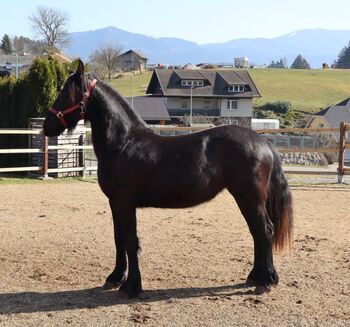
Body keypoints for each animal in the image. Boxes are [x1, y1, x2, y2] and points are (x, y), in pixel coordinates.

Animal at [44, 60, 296, 298]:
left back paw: (266, 281)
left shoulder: (125, 203)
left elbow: (130, 241)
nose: (46, 127)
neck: (124, 142)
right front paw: (115, 278)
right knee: (257, 233)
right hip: (245, 198)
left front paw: (132, 287)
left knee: (265, 231)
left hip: (250, 198)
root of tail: (264, 143)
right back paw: (255, 277)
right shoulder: (114, 203)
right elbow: (118, 239)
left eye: (65, 93)